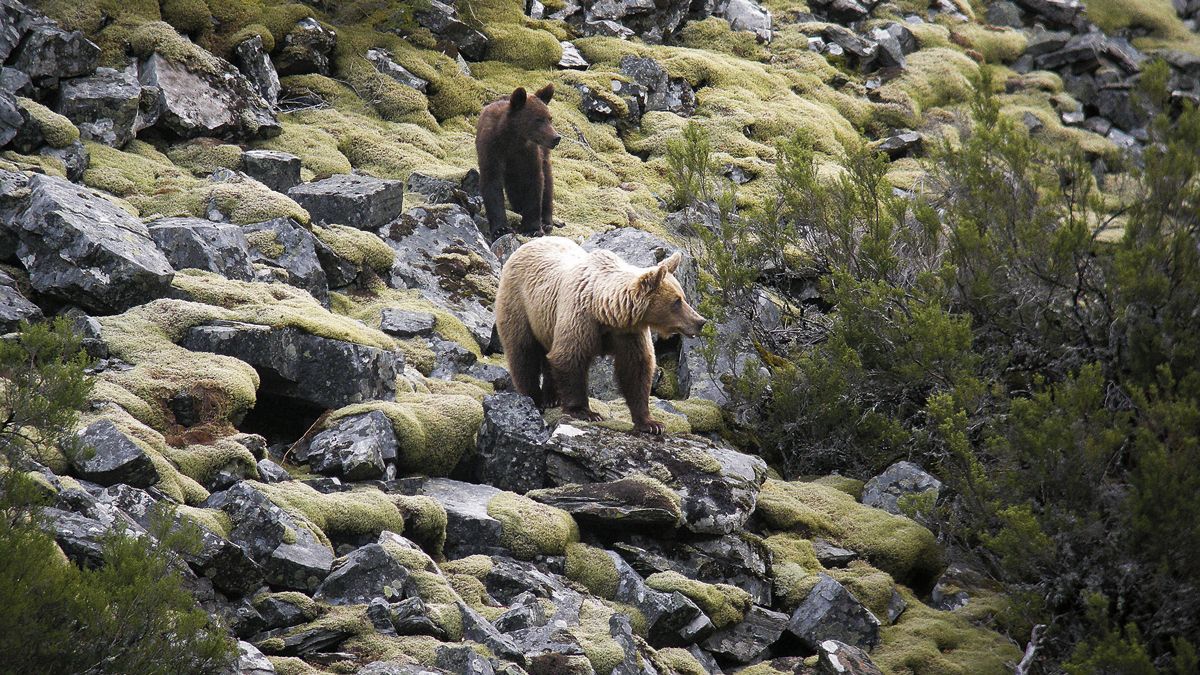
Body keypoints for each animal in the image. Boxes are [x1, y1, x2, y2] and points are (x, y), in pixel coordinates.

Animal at [494, 236, 705, 432]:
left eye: (683, 296)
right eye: (677, 301)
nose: (700, 321)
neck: (605, 312)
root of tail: (528, 243)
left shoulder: (628, 333)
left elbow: (636, 368)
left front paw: (651, 423)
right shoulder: (580, 319)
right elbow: (569, 358)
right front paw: (585, 412)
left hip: (546, 322)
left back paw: (552, 398)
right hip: (520, 304)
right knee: (523, 351)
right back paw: (533, 398)